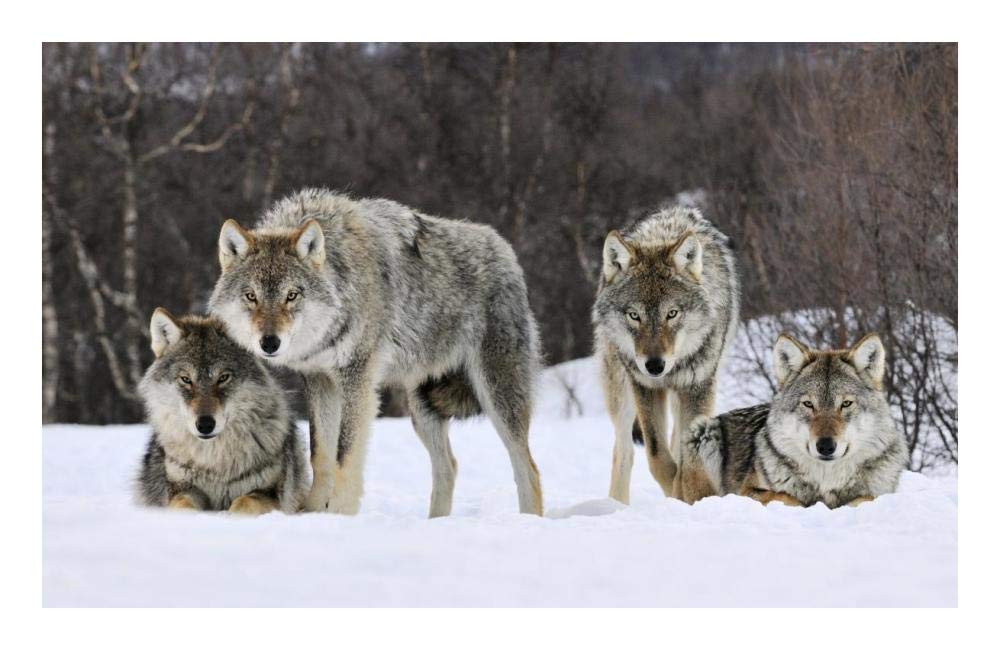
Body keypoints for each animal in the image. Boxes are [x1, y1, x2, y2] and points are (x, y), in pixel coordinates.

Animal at [135, 309, 307, 514]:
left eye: (223, 378)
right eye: (186, 379)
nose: (205, 425)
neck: (215, 463)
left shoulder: (269, 493)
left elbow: (244, 503)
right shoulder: (181, 489)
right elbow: (182, 506)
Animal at [208, 188, 543, 517]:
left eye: (292, 295)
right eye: (251, 296)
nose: (269, 343)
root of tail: (505, 250)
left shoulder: (358, 379)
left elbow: (345, 455)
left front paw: (340, 515)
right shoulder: (319, 380)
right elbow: (321, 454)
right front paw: (313, 512)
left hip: (497, 396)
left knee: (528, 467)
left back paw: (528, 520)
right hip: (422, 408)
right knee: (448, 466)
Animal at [593, 206, 739, 504]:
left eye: (672, 313)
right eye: (634, 315)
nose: (654, 365)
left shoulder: (698, 386)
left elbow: (686, 457)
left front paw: (687, 496)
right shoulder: (645, 387)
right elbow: (657, 456)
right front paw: (675, 491)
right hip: (621, 391)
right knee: (624, 451)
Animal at [677, 333, 907, 508]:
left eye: (846, 404)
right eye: (808, 404)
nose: (825, 446)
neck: (826, 481)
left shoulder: (879, 493)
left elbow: (865, 498)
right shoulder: (747, 491)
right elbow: (786, 496)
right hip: (702, 430)